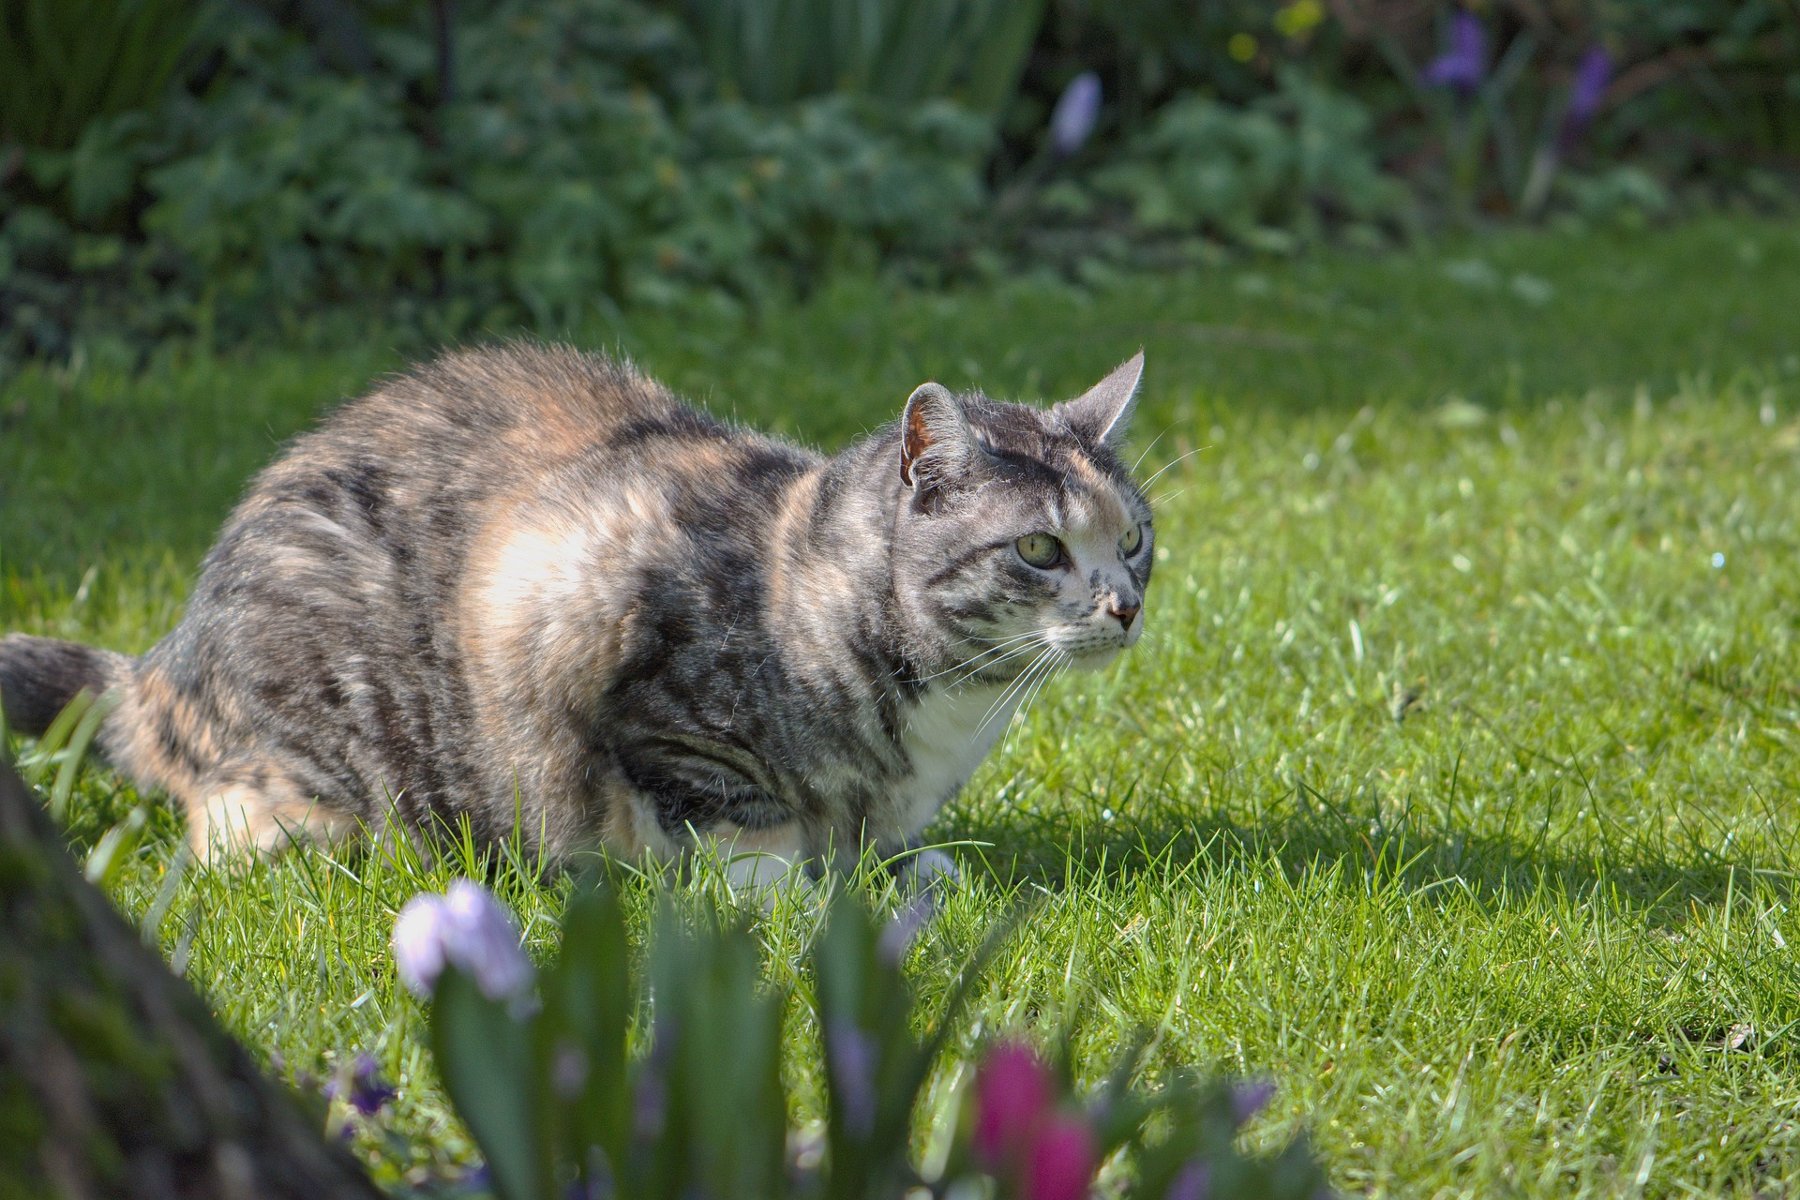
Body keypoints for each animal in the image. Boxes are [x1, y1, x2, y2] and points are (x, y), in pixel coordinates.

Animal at [0, 341, 1152, 888]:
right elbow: (737, 821)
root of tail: (162, 671)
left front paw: (907, 868)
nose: (1126, 604)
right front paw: (789, 892)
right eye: (1040, 548)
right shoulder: (600, 637)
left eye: (1136, 536)